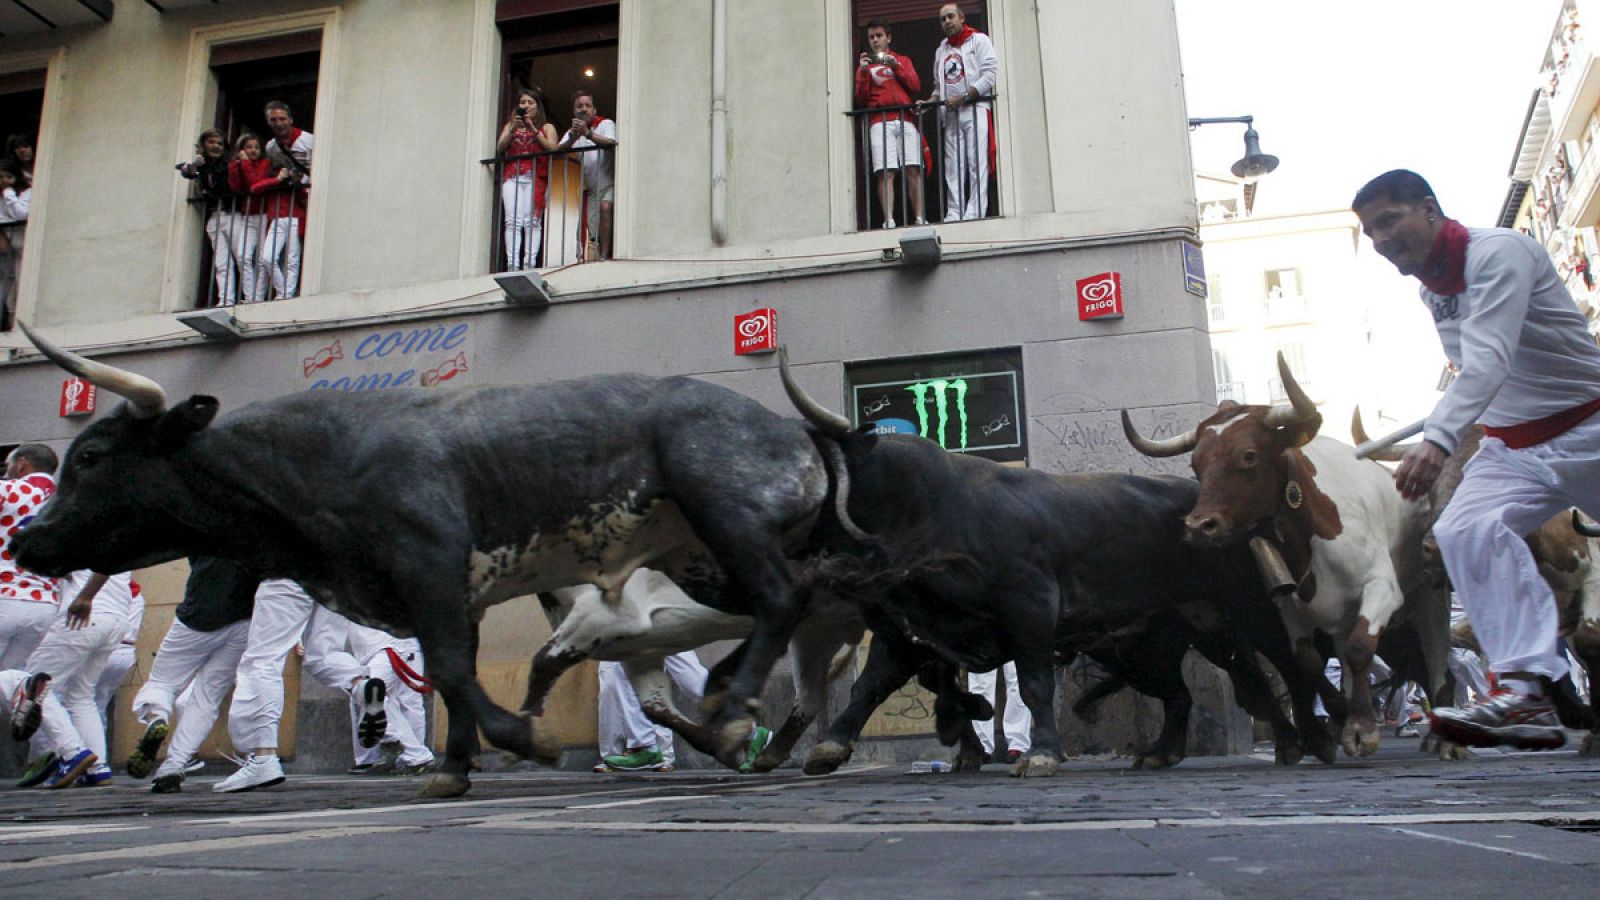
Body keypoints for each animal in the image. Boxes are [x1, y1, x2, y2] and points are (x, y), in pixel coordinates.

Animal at [15, 325, 838, 794]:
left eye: (90, 456)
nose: (25, 539)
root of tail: (790, 430)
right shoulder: (453, 594)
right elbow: (455, 674)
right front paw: (453, 767)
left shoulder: (430, 565)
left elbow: (448, 669)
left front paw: (524, 739)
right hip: (705, 561)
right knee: (791, 605)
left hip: (727, 517)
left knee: (781, 598)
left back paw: (738, 713)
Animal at [1126, 353, 1452, 752]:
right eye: (1196, 464)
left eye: (1248, 455)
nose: (1199, 526)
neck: (1310, 535)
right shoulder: (1291, 608)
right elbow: (1308, 661)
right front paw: (1341, 716)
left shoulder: (1382, 589)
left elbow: (1360, 648)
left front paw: (1362, 725)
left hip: (1429, 598)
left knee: (1437, 661)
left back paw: (1443, 735)